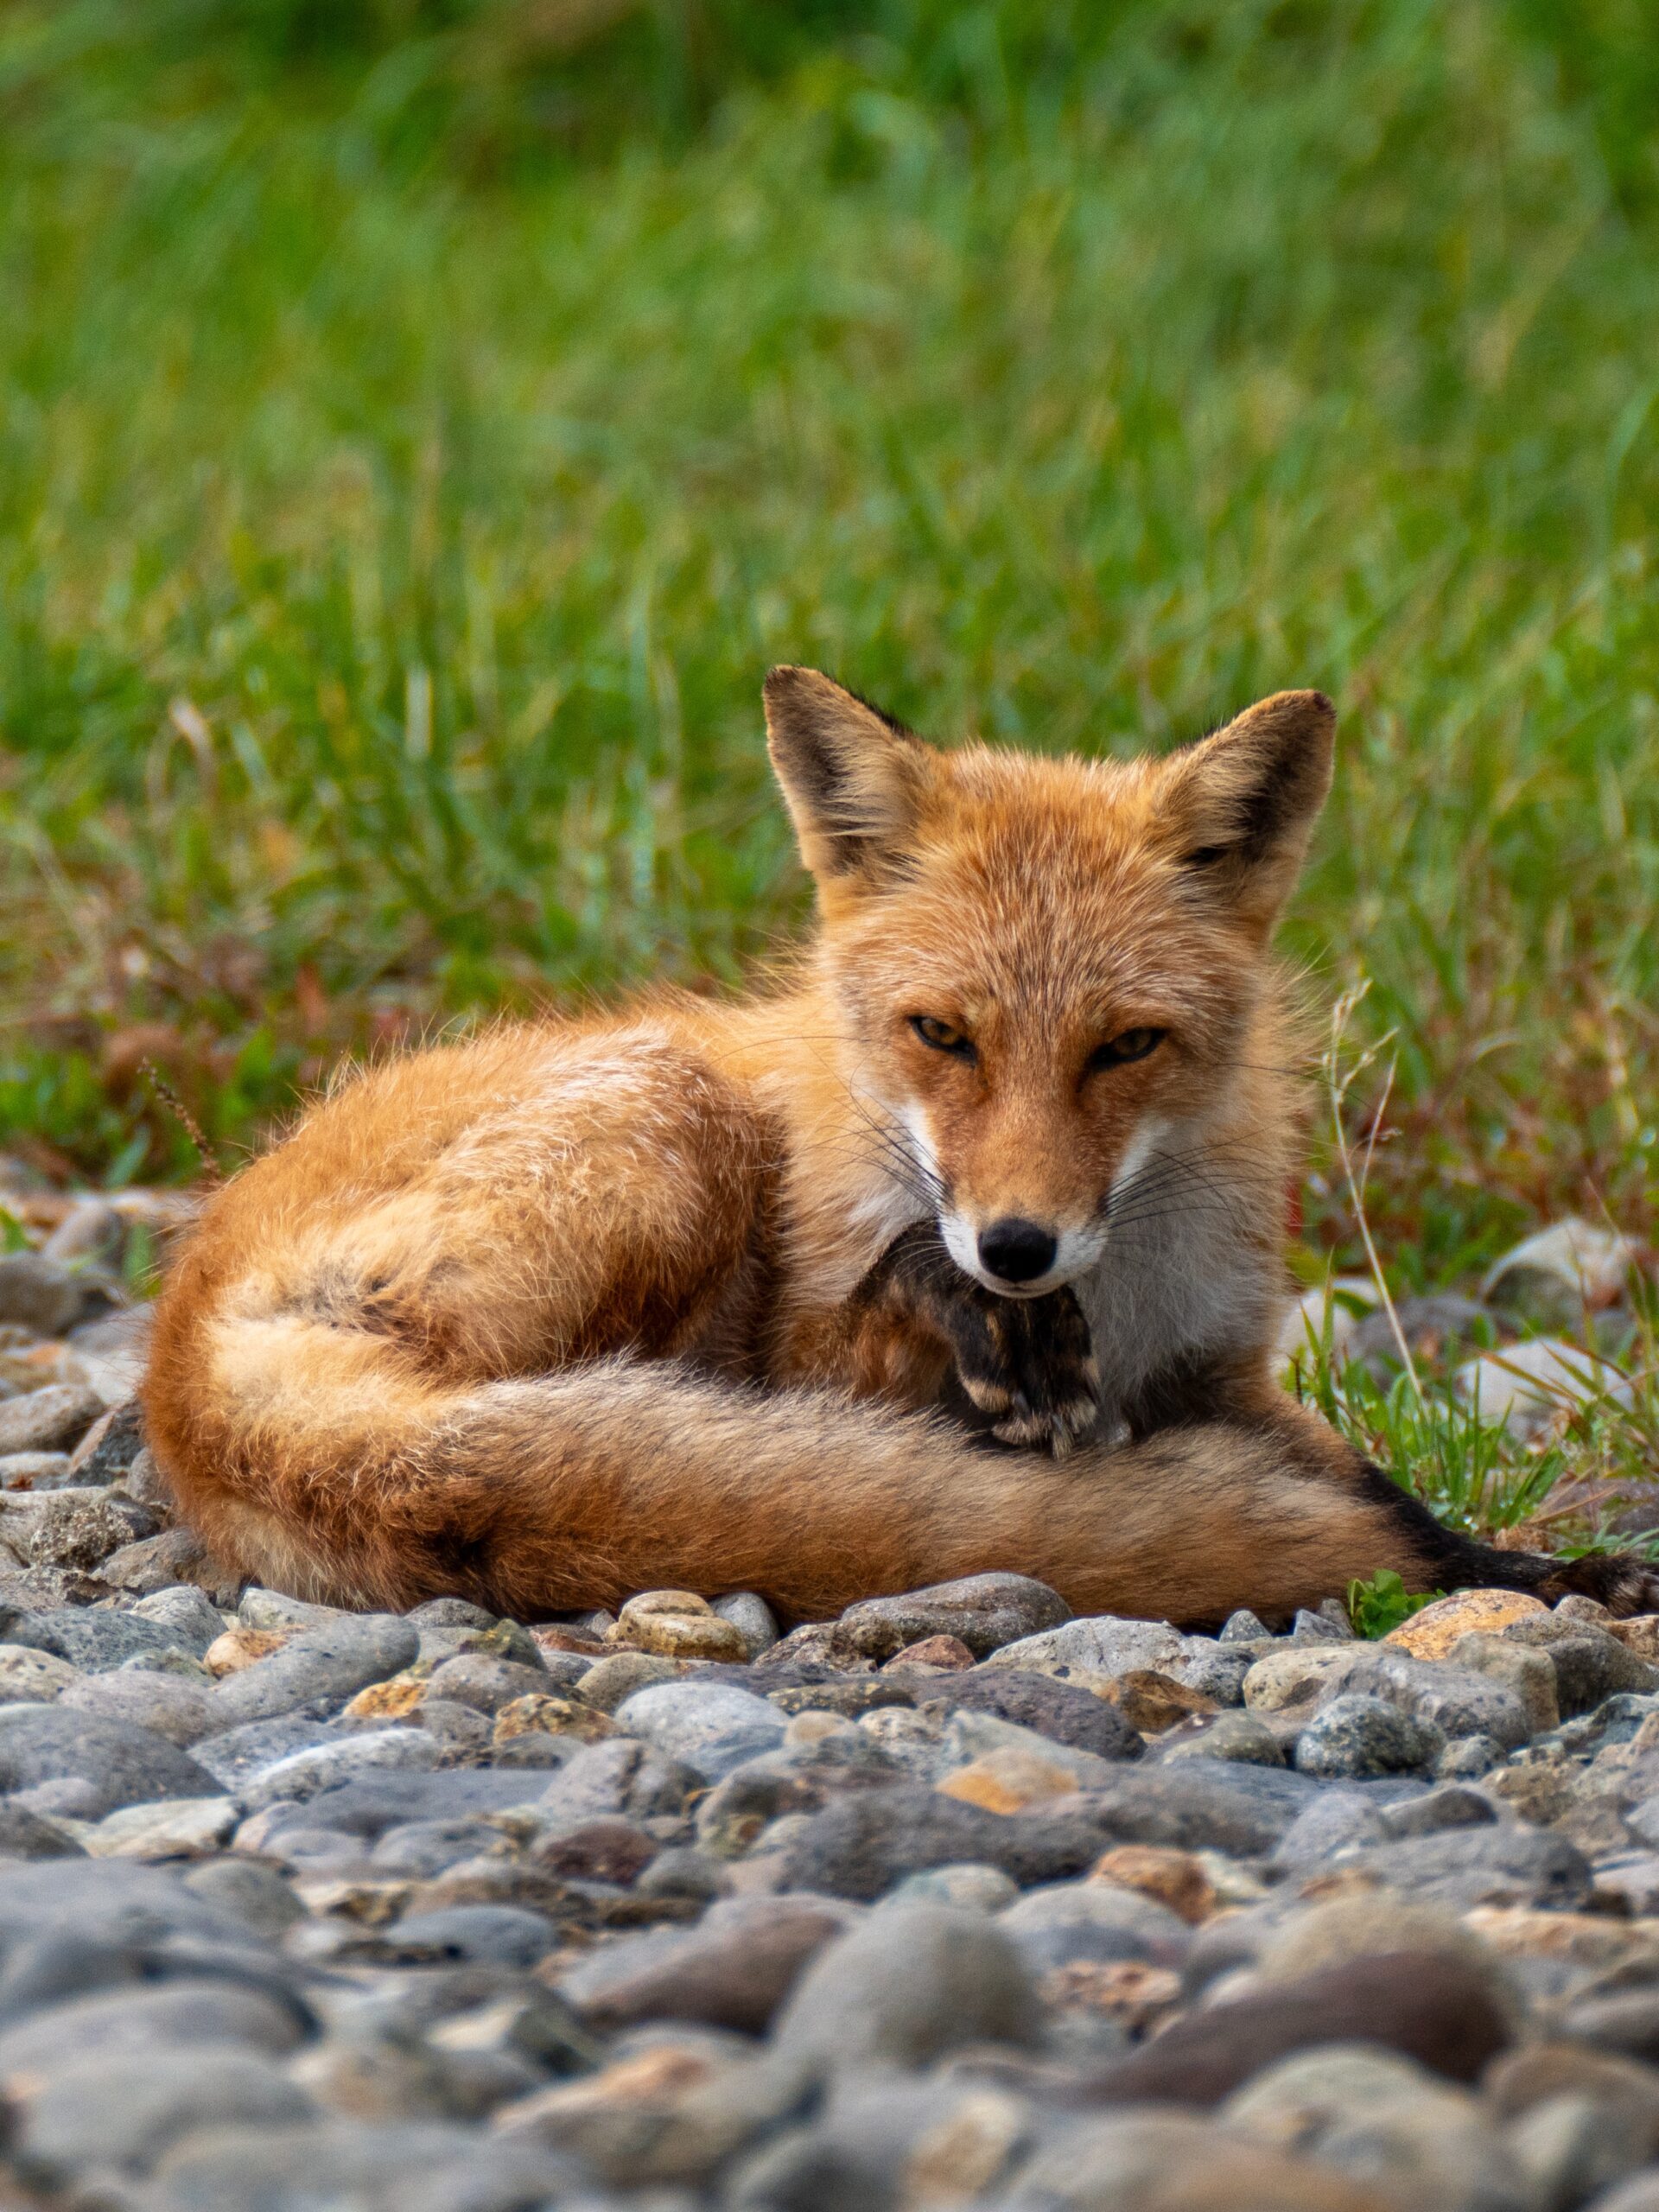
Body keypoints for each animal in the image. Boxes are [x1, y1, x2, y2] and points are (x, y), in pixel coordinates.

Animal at [143, 667, 1659, 1628]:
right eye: (943, 1035)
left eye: (1127, 1046)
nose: (1017, 1247)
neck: (1118, 1292)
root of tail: (178, 1368)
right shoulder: (811, 1350)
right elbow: (879, 1319)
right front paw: (964, 1312)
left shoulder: (1218, 1370)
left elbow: (1382, 1489)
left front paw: (1536, 1572)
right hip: (672, 1132)